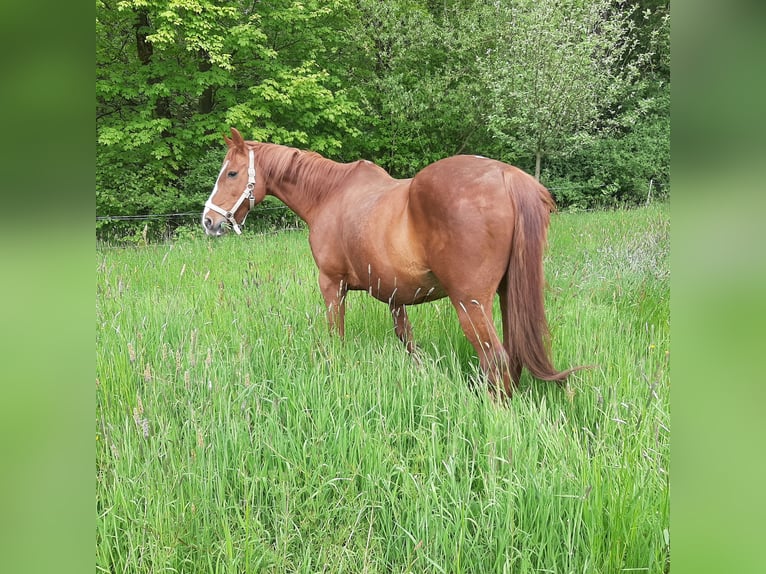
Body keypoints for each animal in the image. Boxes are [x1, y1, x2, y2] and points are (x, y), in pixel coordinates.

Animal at [202, 127, 579, 398]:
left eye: (232, 173)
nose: (209, 221)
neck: (329, 194)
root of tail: (508, 176)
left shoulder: (332, 284)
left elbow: (336, 335)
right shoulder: (396, 295)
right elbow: (407, 340)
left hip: (470, 304)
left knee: (495, 360)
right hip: (506, 296)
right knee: (512, 355)